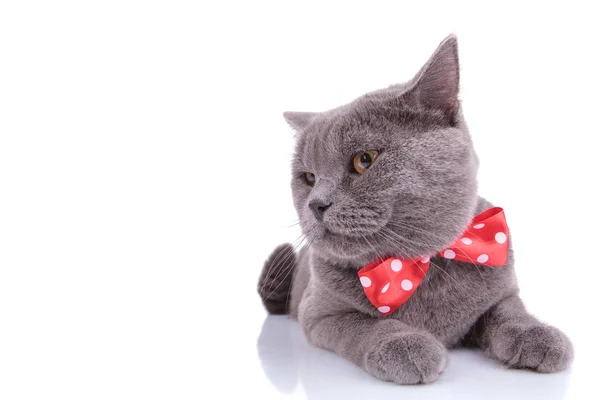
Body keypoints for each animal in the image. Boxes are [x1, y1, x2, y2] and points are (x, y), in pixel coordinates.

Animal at [256, 35, 572, 384]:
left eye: (364, 159)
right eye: (309, 178)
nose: (316, 203)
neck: (419, 267)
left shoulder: (502, 286)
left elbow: (509, 311)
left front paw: (536, 335)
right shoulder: (319, 312)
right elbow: (366, 323)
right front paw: (406, 345)